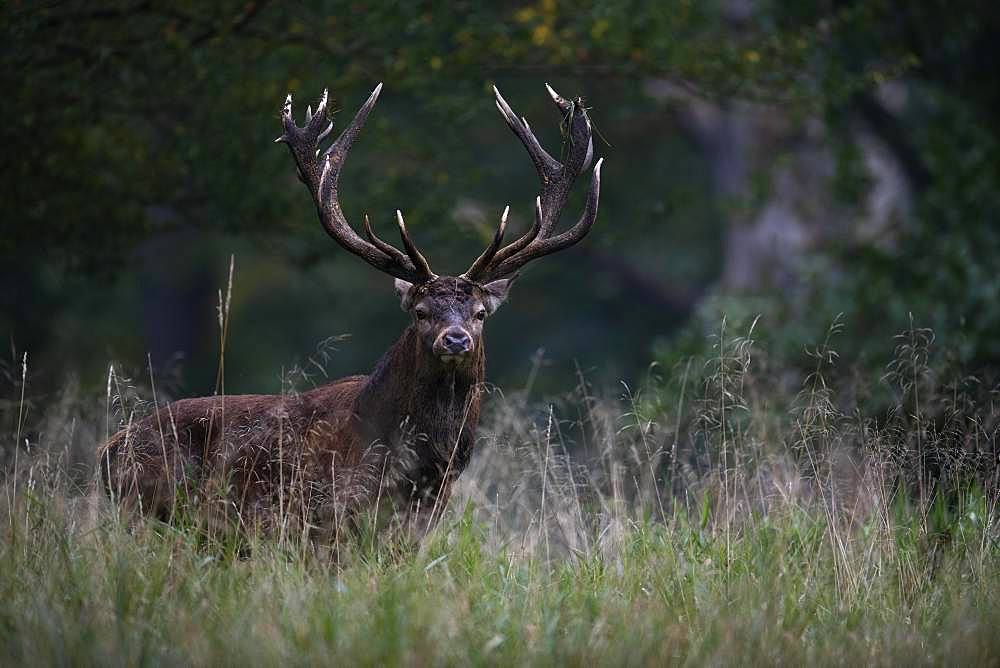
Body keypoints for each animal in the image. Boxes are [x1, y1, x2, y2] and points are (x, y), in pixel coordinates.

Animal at [99, 82, 600, 544]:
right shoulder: (326, 519)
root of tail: (109, 451)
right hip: (149, 511)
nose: (455, 339)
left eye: (479, 313)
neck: (419, 471)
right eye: (421, 312)